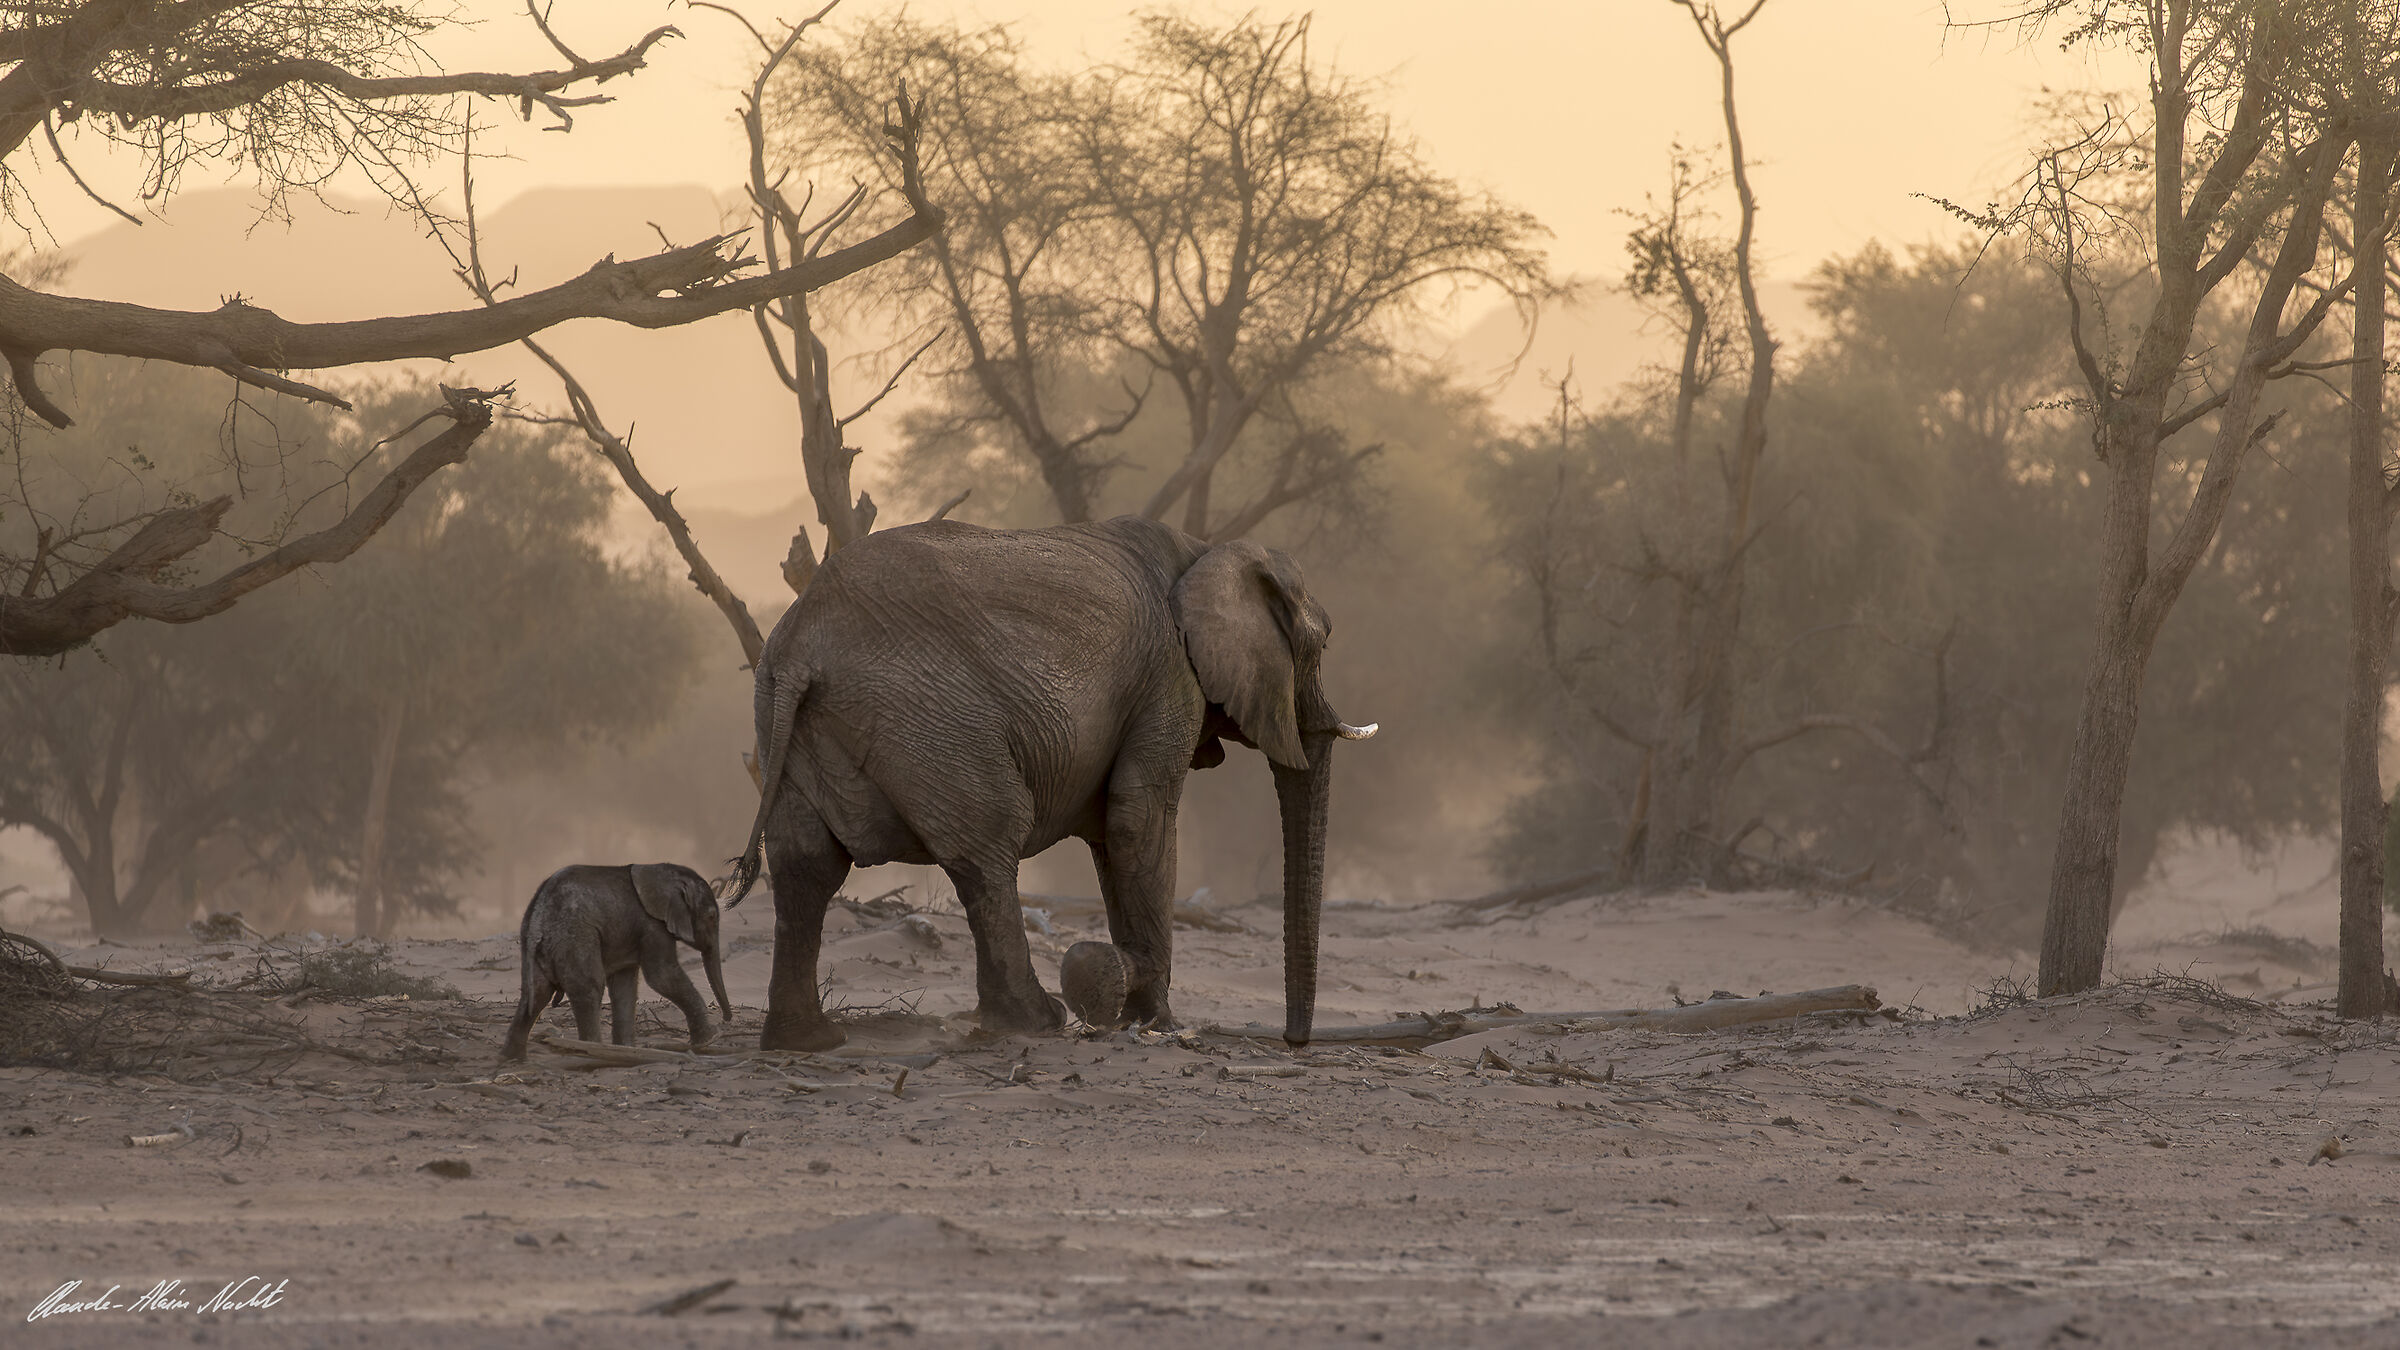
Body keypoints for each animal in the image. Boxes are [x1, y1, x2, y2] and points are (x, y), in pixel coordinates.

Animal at [500, 863, 734, 1062]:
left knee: (536, 994)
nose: (727, 1019)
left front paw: (628, 1051)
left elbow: (625, 985)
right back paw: (590, 1053)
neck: (663, 871)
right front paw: (711, 1039)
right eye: (712, 917)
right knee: (588, 988)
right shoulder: (652, 925)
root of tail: (538, 919)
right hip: (574, 936)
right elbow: (661, 976)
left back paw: (512, 1059)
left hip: (535, 946)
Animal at [728, 515, 1375, 1051]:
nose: (1294, 1041)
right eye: (1322, 643)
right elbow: (1138, 818)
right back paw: (1036, 1022)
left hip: (787, 719)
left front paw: (1129, 999)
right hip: (931, 719)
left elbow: (1112, 835)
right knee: (988, 846)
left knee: (806, 865)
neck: (1207, 550)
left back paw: (807, 1042)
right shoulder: (1169, 676)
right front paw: (1152, 1017)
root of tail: (800, 645)